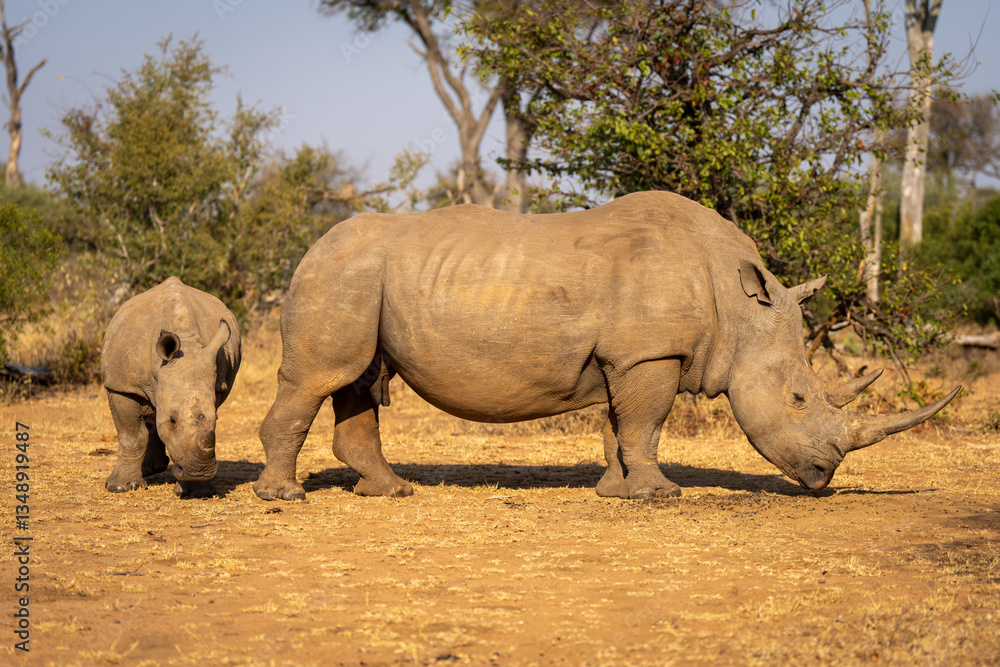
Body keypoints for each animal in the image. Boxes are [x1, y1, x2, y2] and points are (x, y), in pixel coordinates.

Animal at [102, 277, 241, 498]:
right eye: (173, 421)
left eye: (217, 419)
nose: (200, 472)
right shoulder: (123, 386)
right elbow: (132, 435)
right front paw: (120, 487)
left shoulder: (217, 383)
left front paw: (197, 491)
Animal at [254, 191, 959, 501]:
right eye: (799, 398)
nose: (825, 477)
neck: (738, 308)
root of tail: (309, 245)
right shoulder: (650, 354)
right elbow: (647, 422)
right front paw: (659, 496)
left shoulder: (630, 354)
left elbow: (622, 425)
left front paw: (617, 492)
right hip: (338, 273)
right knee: (322, 377)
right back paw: (284, 498)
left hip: (361, 275)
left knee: (356, 379)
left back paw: (391, 491)